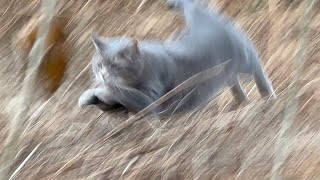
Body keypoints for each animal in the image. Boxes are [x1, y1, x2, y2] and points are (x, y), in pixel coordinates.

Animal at [77, 0, 276, 114]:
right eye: (98, 65)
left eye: (115, 66)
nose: (103, 75)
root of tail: (199, 19)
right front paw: (91, 96)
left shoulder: (152, 100)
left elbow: (129, 94)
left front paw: (100, 90)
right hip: (223, 70)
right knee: (232, 80)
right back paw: (242, 101)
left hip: (244, 57)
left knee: (258, 68)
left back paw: (268, 95)